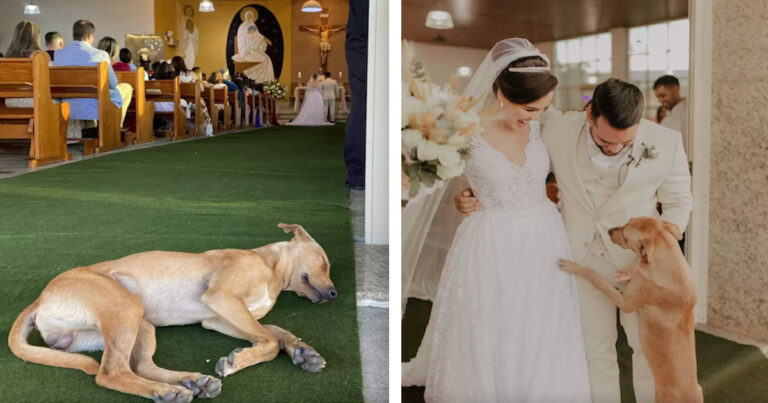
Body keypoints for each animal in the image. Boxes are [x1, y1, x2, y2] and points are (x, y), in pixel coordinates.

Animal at [6, 224, 336, 403]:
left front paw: (303, 352)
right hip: (125, 305)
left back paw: (190, 383)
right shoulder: (222, 298)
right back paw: (167, 391)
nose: (334, 294)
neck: (270, 267)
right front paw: (239, 359)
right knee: (111, 372)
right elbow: (268, 342)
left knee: (138, 365)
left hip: (138, 325)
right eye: (324, 261)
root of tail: (39, 300)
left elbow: (275, 333)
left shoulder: (216, 318)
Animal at [560, 218, 704, 403]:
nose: (609, 231)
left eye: (626, 235)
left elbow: (596, 277)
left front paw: (574, 266)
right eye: (626, 222)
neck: (670, 265)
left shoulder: (625, 302)